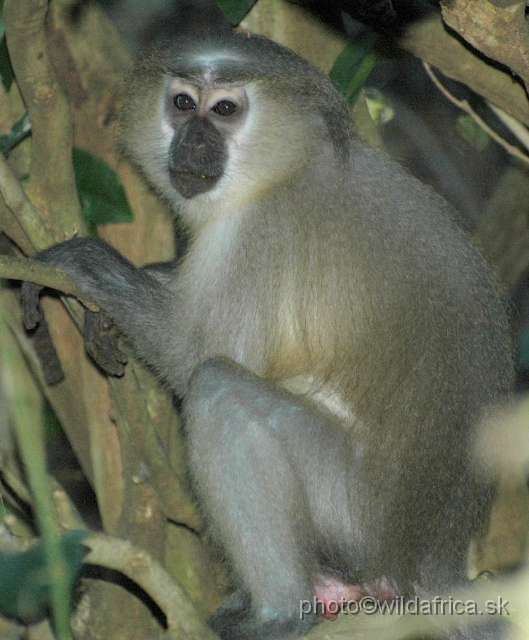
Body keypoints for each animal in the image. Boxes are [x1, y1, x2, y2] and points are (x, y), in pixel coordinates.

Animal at [21, 27, 512, 636]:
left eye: (225, 110)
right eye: (182, 103)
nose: (194, 142)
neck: (289, 163)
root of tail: (434, 559)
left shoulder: (262, 229)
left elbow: (195, 354)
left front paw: (85, 266)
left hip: (355, 511)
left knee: (218, 390)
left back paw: (282, 611)